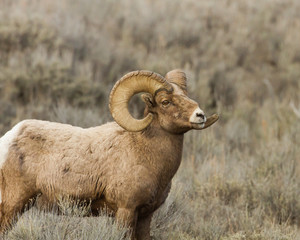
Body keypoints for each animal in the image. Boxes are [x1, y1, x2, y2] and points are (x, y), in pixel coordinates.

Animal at [0, 69, 217, 238]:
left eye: (187, 96)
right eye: (165, 101)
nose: (200, 115)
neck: (145, 152)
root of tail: (8, 139)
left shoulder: (145, 217)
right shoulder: (125, 211)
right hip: (13, 206)